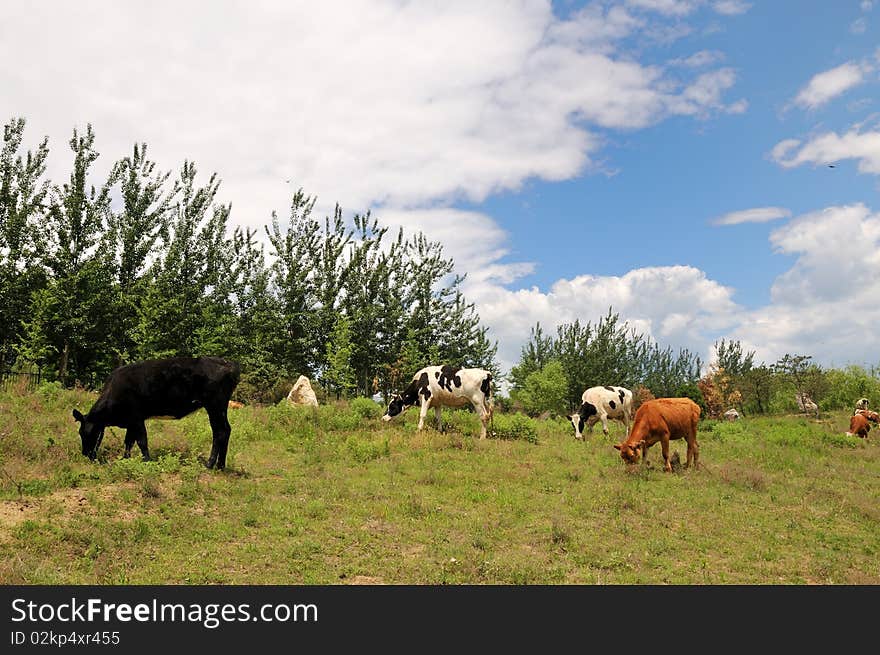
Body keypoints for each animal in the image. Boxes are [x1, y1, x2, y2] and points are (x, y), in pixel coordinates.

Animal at [71, 356, 241, 468]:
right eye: (80, 433)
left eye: (93, 433)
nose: (86, 454)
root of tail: (228, 363)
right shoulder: (131, 421)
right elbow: (129, 441)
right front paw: (126, 459)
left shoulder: (136, 417)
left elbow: (141, 441)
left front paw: (147, 461)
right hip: (218, 407)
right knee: (225, 430)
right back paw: (220, 465)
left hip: (215, 405)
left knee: (220, 431)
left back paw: (210, 464)